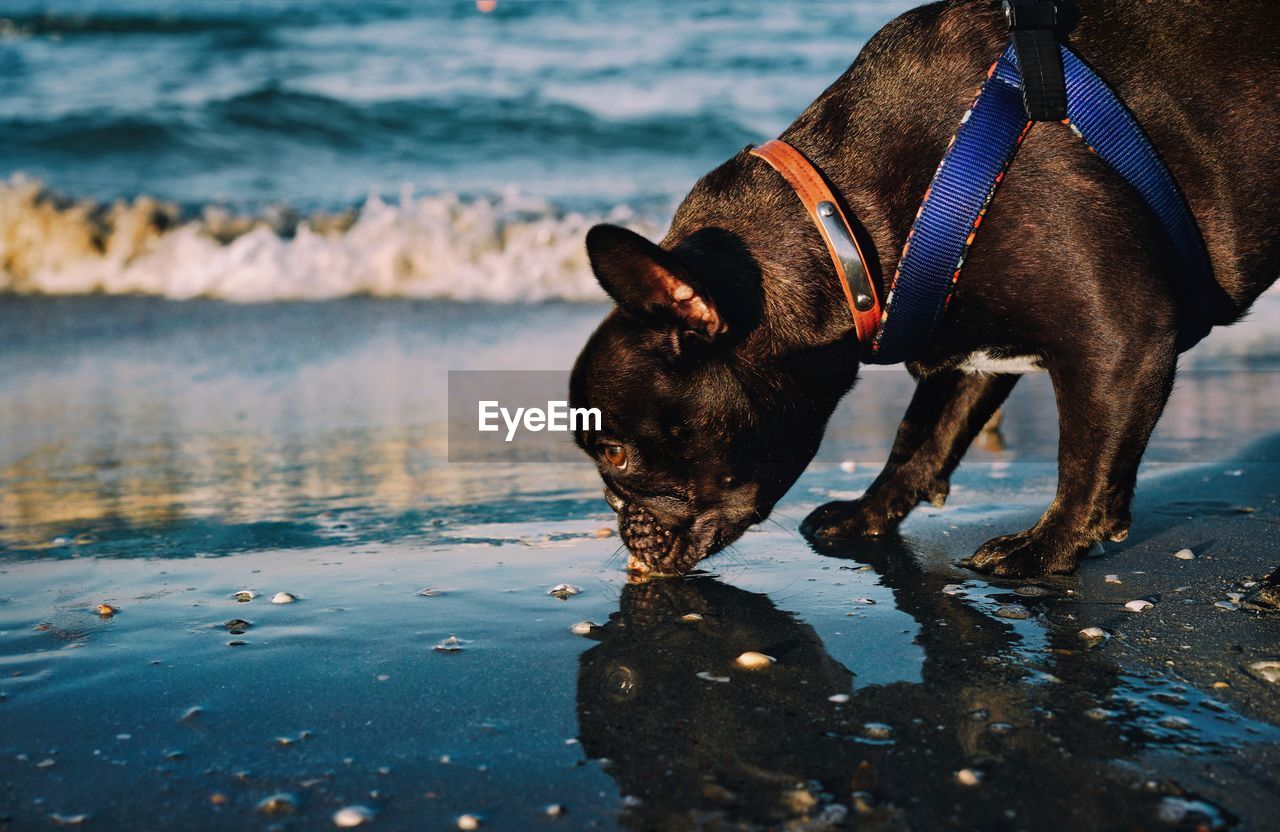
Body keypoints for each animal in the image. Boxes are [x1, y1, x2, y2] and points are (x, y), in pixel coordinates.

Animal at [570, 0, 1280, 573]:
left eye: (615, 453)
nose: (616, 518)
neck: (843, 225)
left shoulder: (1122, 341)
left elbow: (1086, 459)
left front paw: (1046, 545)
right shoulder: (961, 341)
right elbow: (921, 436)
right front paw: (868, 512)